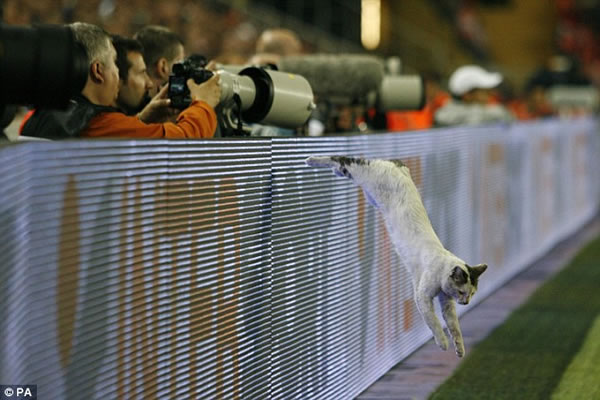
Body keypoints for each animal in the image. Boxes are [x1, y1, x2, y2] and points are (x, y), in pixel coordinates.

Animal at [308, 155, 486, 356]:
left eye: (472, 293)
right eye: (462, 292)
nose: (466, 302)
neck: (441, 267)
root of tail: (392, 163)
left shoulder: (446, 302)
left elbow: (454, 326)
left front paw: (460, 349)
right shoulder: (422, 296)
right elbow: (434, 322)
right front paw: (443, 343)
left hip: (370, 193)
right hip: (363, 175)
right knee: (344, 160)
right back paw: (312, 159)